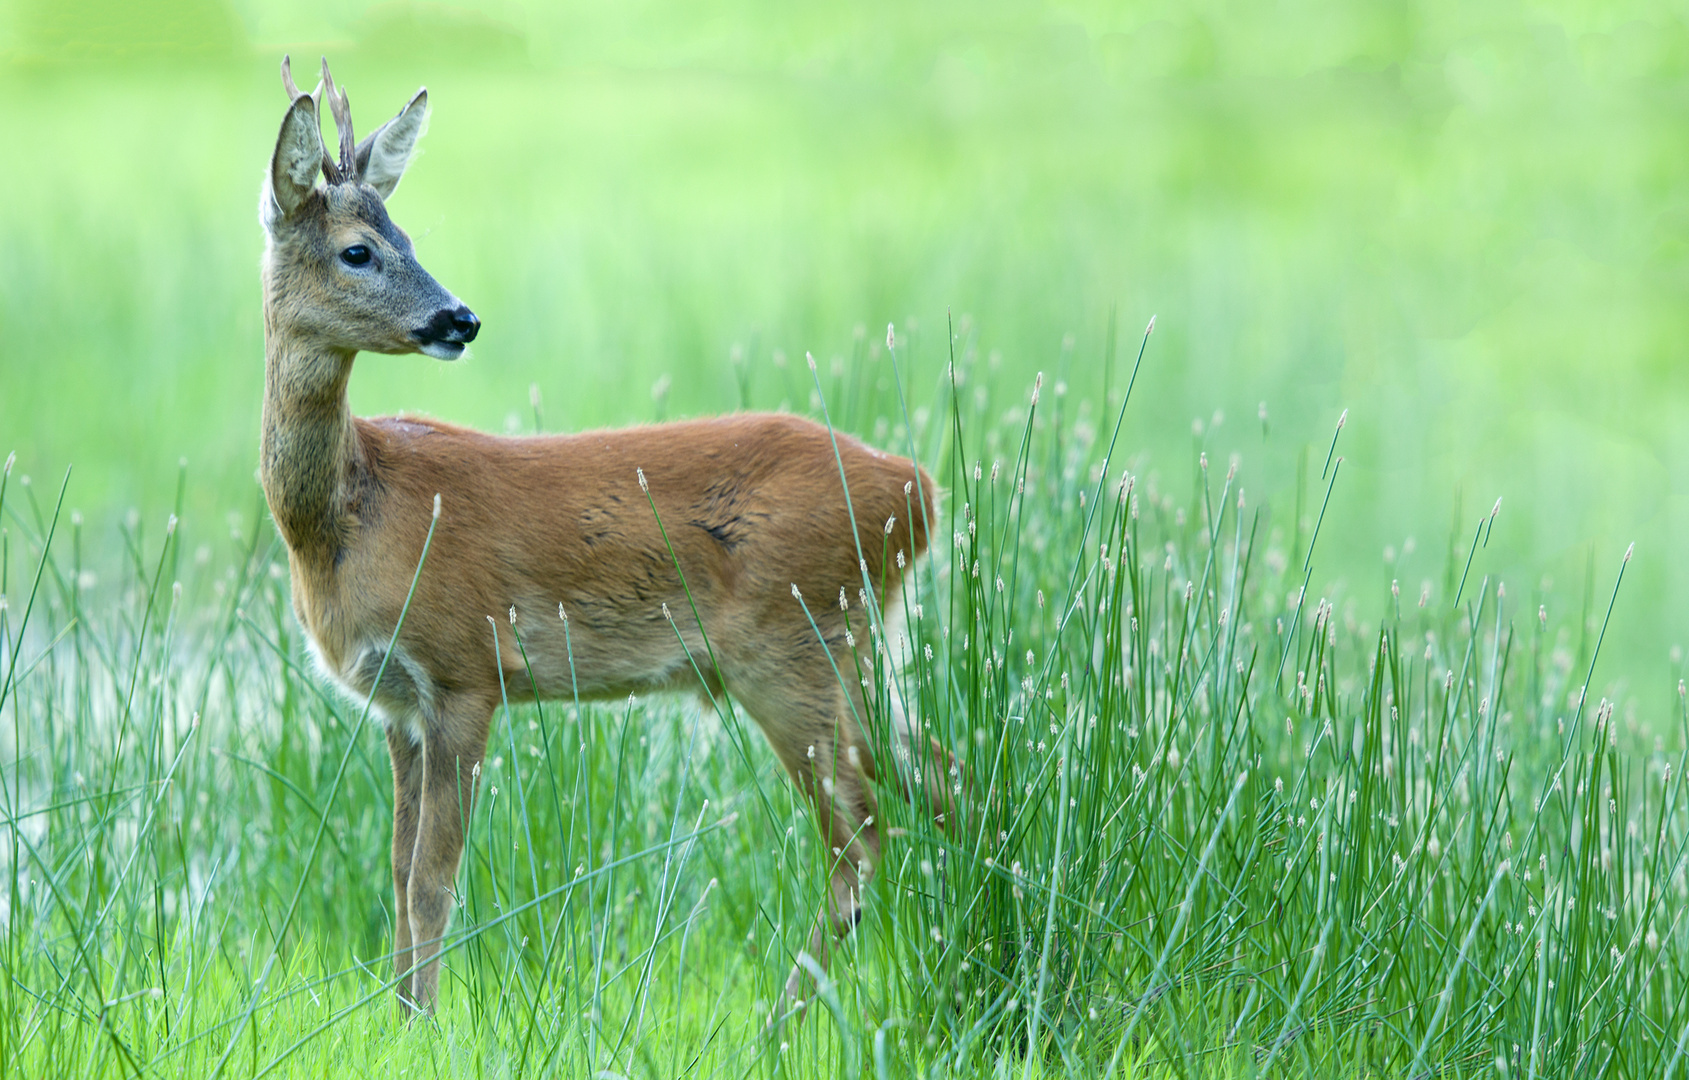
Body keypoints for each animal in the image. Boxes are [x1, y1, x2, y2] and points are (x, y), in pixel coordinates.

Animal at [258, 59, 945, 1020]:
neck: (352, 518)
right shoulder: (397, 702)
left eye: (406, 237)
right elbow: (394, 873)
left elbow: (432, 880)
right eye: (361, 249)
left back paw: (781, 1019)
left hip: (790, 645)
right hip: (854, 645)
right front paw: (398, 1016)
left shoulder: (467, 669)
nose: (459, 319)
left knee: (860, 833)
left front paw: (424, 1023)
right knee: (941, 775)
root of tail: (914, 487)